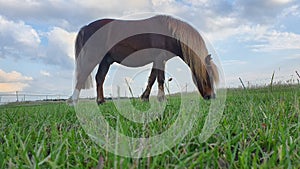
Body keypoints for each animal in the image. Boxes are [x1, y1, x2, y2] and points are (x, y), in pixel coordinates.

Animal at [67, 14, 219, 104]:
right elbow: (160, 78)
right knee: (83, 76)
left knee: (100, 78)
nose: (211, 96)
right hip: (92, 57)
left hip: (106, 60)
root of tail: (86, 27)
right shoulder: (160, 58)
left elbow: (152, 78)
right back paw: (73, 100)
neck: (168, 33)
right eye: (208, 76)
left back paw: (101, 101)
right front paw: (162, 98)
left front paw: (145, 97)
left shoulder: (157, 60)